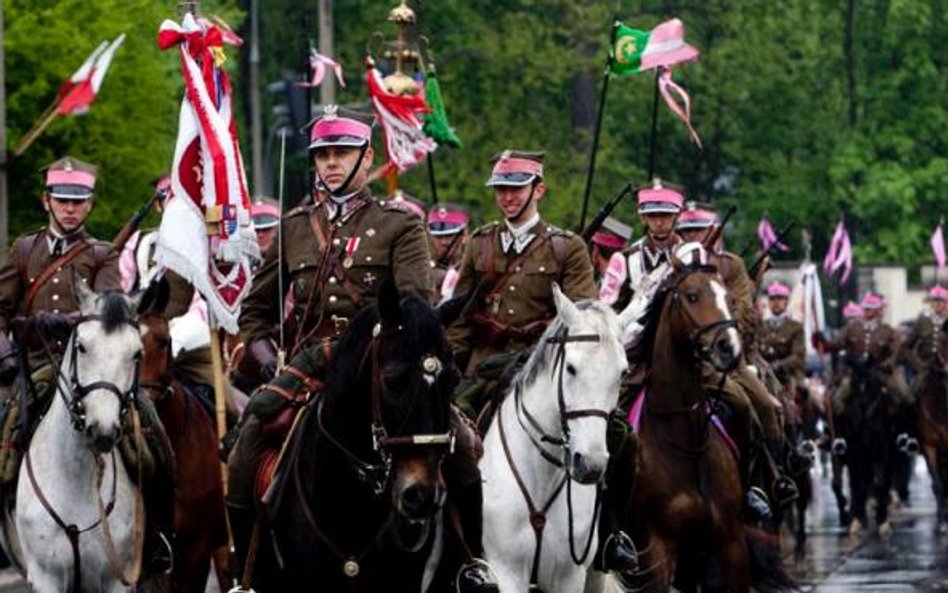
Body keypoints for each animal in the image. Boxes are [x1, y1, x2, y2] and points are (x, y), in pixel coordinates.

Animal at [482, 274, 668, 592]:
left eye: (622, 372)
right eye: (570, 368)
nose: (590, 465)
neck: (542, 477)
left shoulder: (570, 575)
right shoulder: (506, 571)